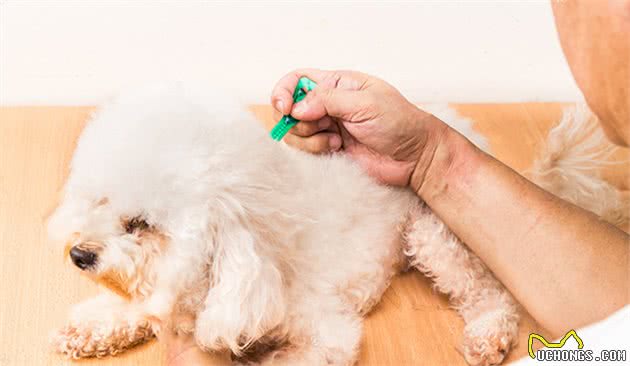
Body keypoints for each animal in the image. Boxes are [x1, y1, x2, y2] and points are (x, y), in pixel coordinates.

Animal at [49, 84, 628, 364]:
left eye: (140, 224)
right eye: (97, 199)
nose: (79, 255)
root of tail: (466, 132)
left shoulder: (326, 331)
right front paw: (92, 325)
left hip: (435, 234)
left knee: (492, 295)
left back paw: (488, 337)